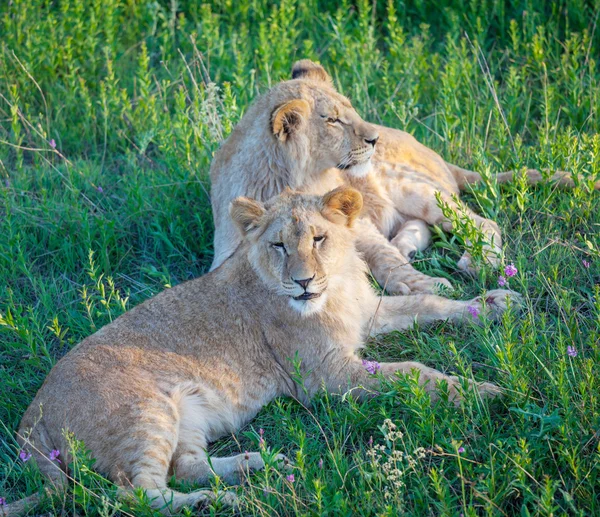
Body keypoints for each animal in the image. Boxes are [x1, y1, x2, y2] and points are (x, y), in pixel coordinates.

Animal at [5, 187, 520, 512]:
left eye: (318, 238)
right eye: (278, 245)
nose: (303, 282)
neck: (337, 286)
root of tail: (32, 408)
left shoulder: (367, 315)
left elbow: (427, 302)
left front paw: (494, 304)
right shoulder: (326, 376)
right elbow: (414, 371)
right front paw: (483, 392)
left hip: (185, 413)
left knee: (187, 466)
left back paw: (261, 464)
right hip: (143, 412)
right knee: (136, 494)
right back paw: (214, 503)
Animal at [211, 59, 596, 292]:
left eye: (350, 109)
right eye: (333, 120)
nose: (373, 139)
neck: (289, 178)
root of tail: (442, 158)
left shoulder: (359, 224)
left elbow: (385, 260)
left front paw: (417, 285)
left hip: (410, 186)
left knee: (483, 223)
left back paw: (476, 261)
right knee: (422, 228)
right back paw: (405, 245)